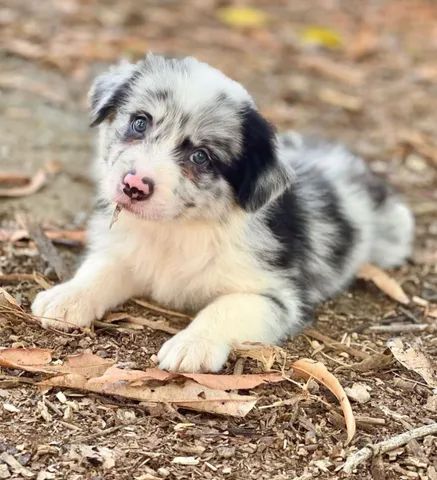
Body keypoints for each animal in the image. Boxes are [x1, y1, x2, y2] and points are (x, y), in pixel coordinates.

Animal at [30, 54, 412, 374]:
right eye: (140, 122)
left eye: (201, 156)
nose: (134, 186)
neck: (174, 231)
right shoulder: (128, 253)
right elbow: (100, 270)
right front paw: (67, 297)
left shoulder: (275, 296)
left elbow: (224, 308)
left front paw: (192, 344)